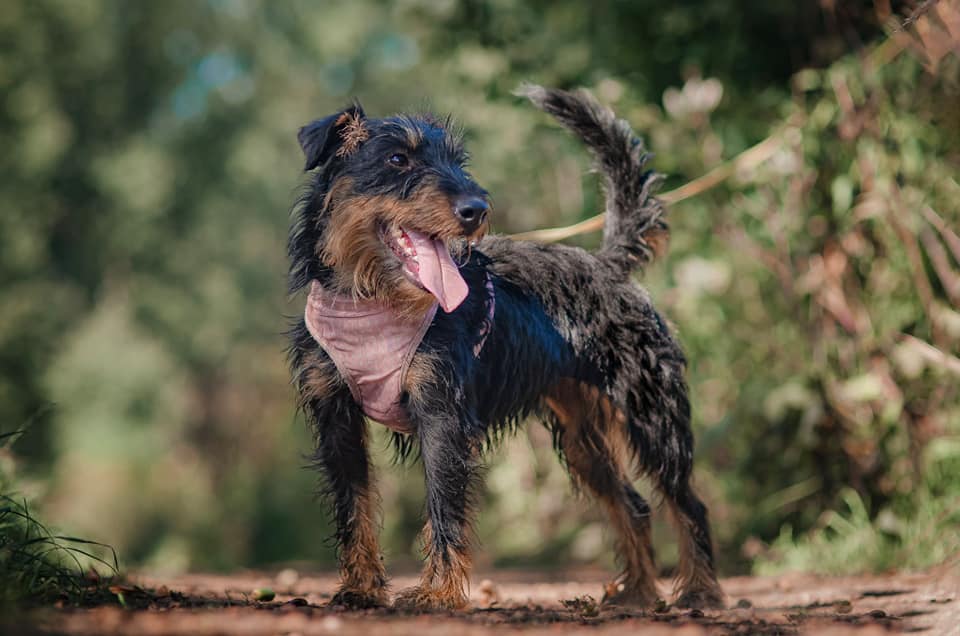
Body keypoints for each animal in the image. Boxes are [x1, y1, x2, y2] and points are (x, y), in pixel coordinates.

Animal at [288, 84, 724, 612]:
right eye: (397, 159)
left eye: (457, 162)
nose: (476, 208)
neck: (370, 296)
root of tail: (607, 265)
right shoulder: (338, 420)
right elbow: (354, 508)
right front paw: (362, 588)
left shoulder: (442, 417)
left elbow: (444, 508)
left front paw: (438, 592)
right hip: (583, 437)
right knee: (634, 505)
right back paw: (637, 593)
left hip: (653, 416)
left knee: (688, 503)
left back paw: (700, 589)